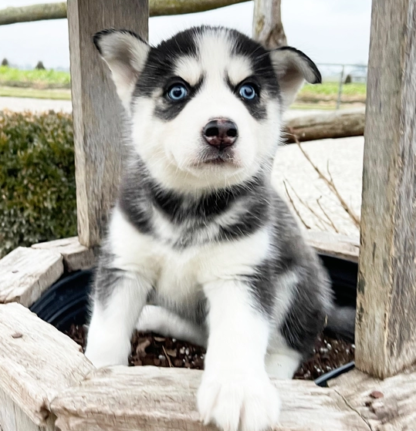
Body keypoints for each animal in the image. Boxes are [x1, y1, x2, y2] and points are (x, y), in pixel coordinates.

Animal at [86, 26, 336, 431]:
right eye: (177, 91)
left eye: (248, 91)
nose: (221, 129)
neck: (189, 206)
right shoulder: (125, 264)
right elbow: (106, 330)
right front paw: (97, 372)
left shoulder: (241, 274)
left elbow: (239, 332)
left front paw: (241, 390)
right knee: (199, 330)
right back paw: (154, 316)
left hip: (299, 283)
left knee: (289, 345)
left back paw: (274, 373)